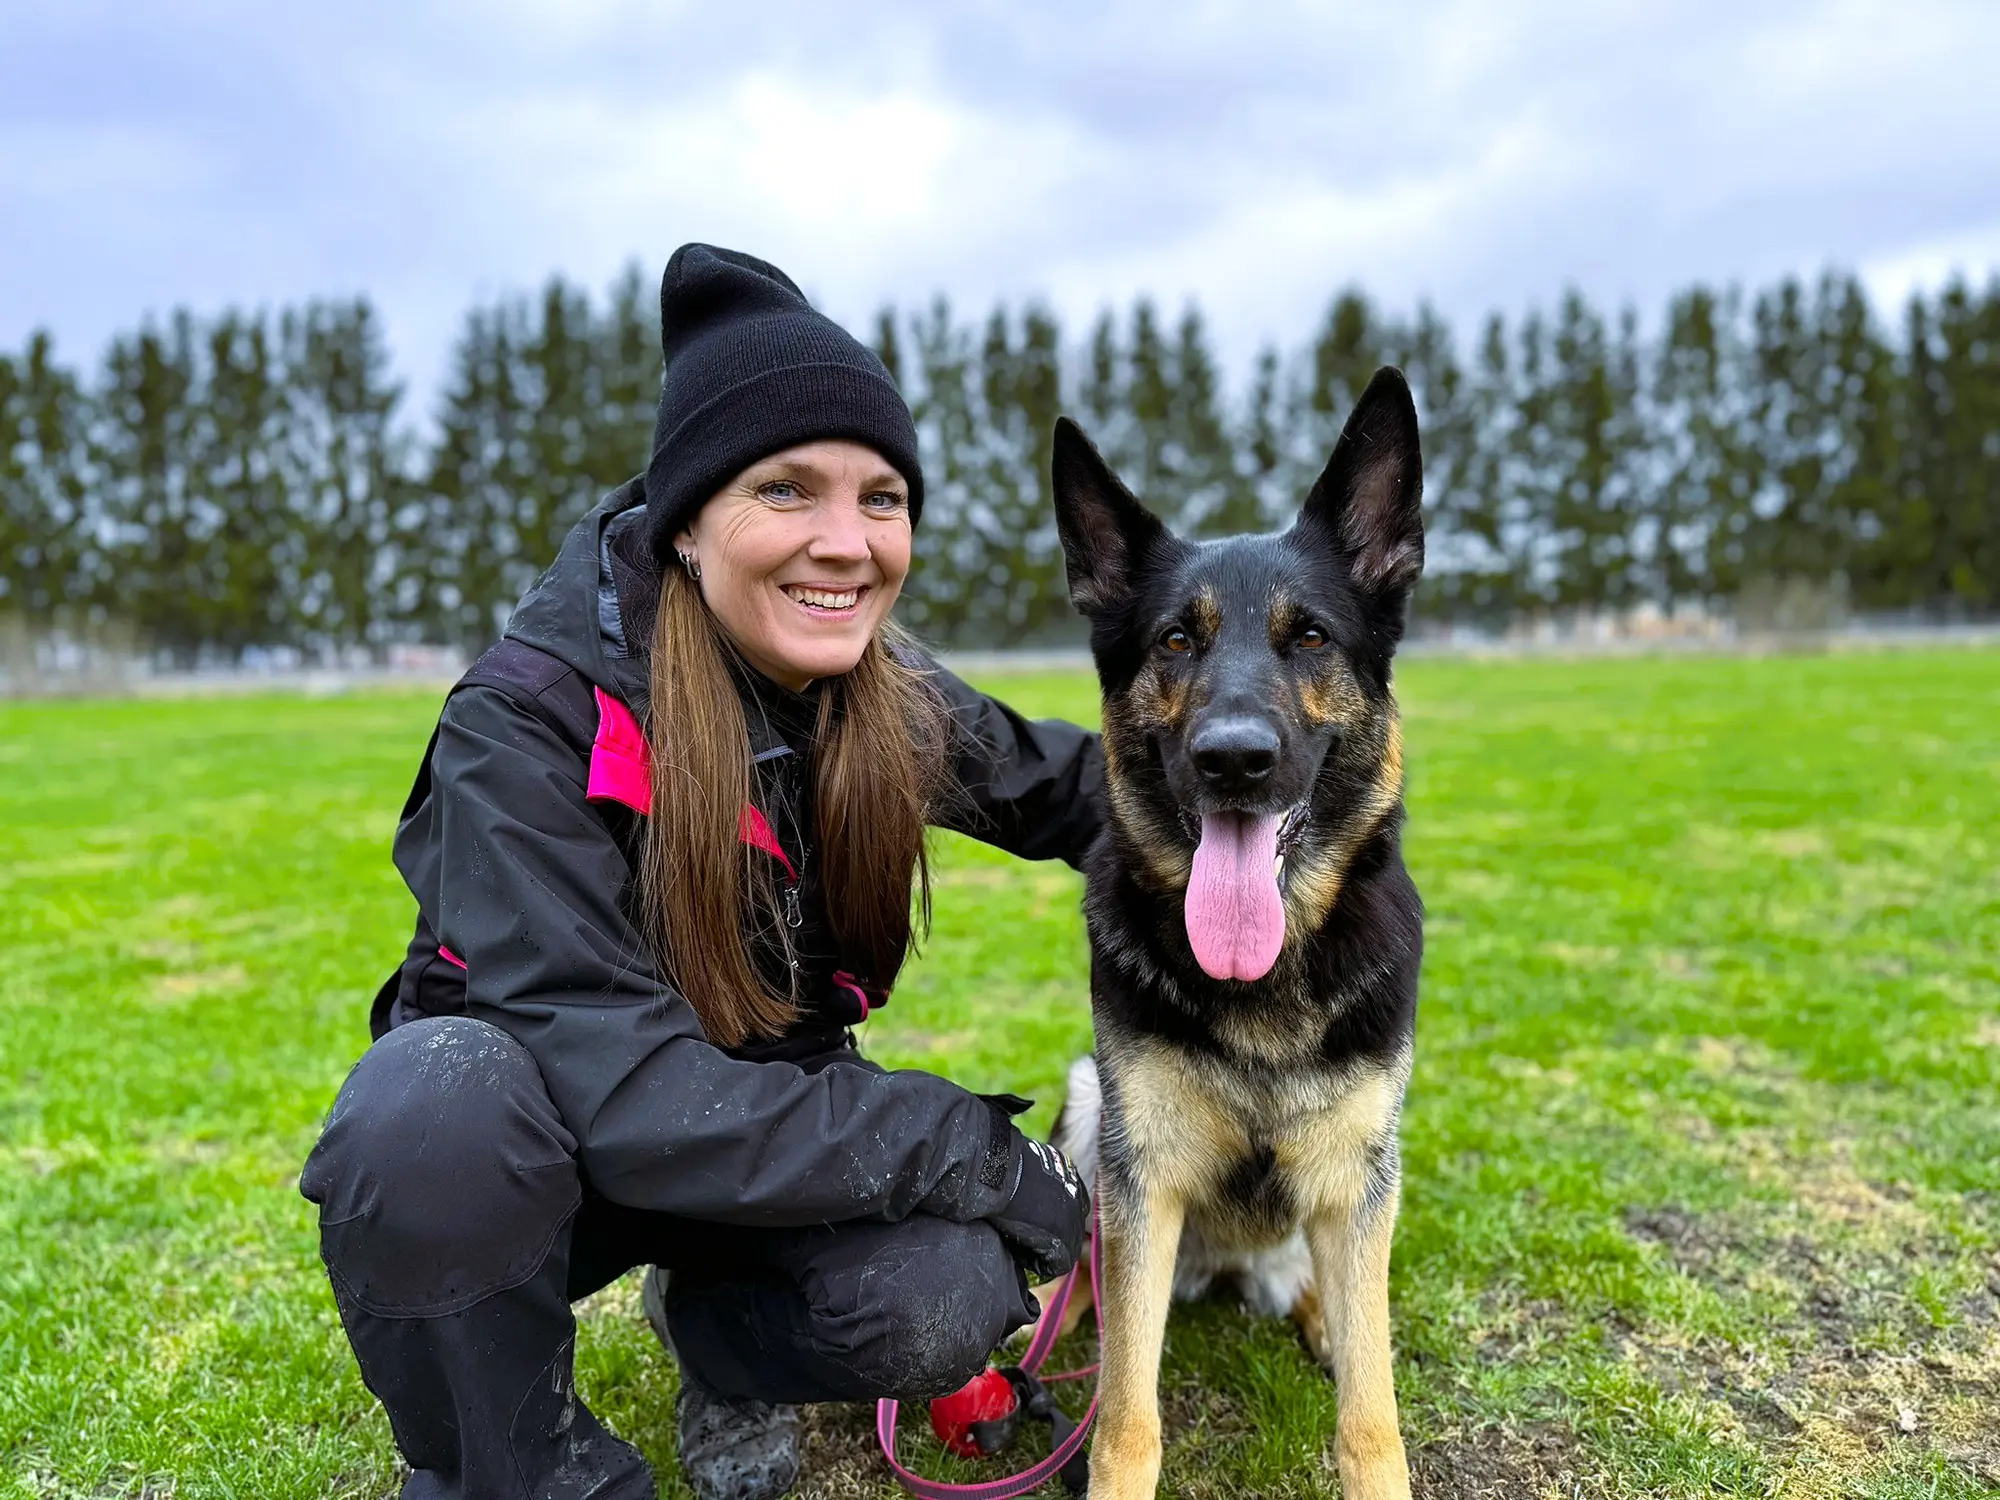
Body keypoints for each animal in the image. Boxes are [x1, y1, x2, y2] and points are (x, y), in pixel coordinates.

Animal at [1048, 368, 1424, 1500]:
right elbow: (1126, 1416)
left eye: (1310, 638)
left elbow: (1371, 1416)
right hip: (1089, 1110)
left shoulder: (1356, 1184)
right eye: (1176, 639)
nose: (1233, 759)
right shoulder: (1142, 1180)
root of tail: (1222, 1268)